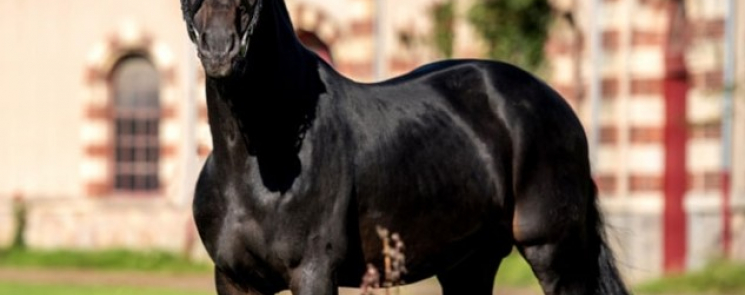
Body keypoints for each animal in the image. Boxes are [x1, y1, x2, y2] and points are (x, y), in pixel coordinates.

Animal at [180, 0, 628, 295]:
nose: (220, 50)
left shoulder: (312, 272)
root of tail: (558, 105)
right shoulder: (234, 279)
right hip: (470, 263)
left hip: (554, 253)